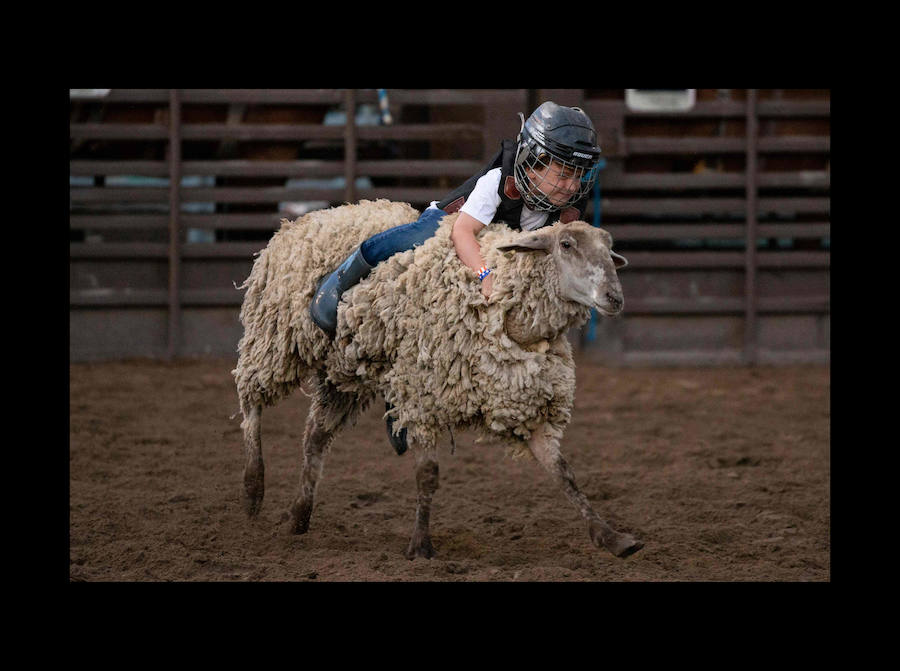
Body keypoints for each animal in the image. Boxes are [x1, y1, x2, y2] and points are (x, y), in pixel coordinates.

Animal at [232, 200, 640, 560]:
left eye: (609, 250)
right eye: (567, 245)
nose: (614, 297)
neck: (507, 316)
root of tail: (298, 222)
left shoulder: (525, 406)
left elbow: (563, 473)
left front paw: (612, 538)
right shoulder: (422, 396)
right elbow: (427, 475)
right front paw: (420, 546)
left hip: (343, 376)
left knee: (314, 439)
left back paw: (299, 515)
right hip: (275, 340)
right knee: (250, 402)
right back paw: (252, 491)